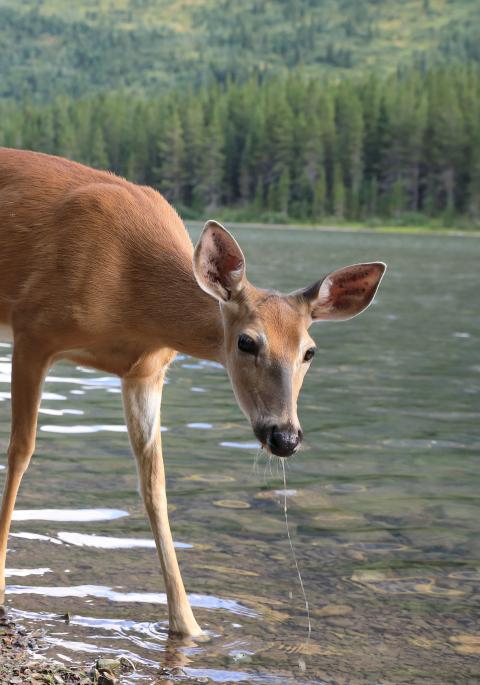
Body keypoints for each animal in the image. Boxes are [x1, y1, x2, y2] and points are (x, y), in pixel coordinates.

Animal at [0, 147, 386, 636]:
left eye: (310, 351)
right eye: (246, 342)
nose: (285, 437)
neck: (132, 297)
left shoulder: (145, 372)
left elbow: (155, 485)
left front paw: (188, 626)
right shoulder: (34, 329)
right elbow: (21, 452)